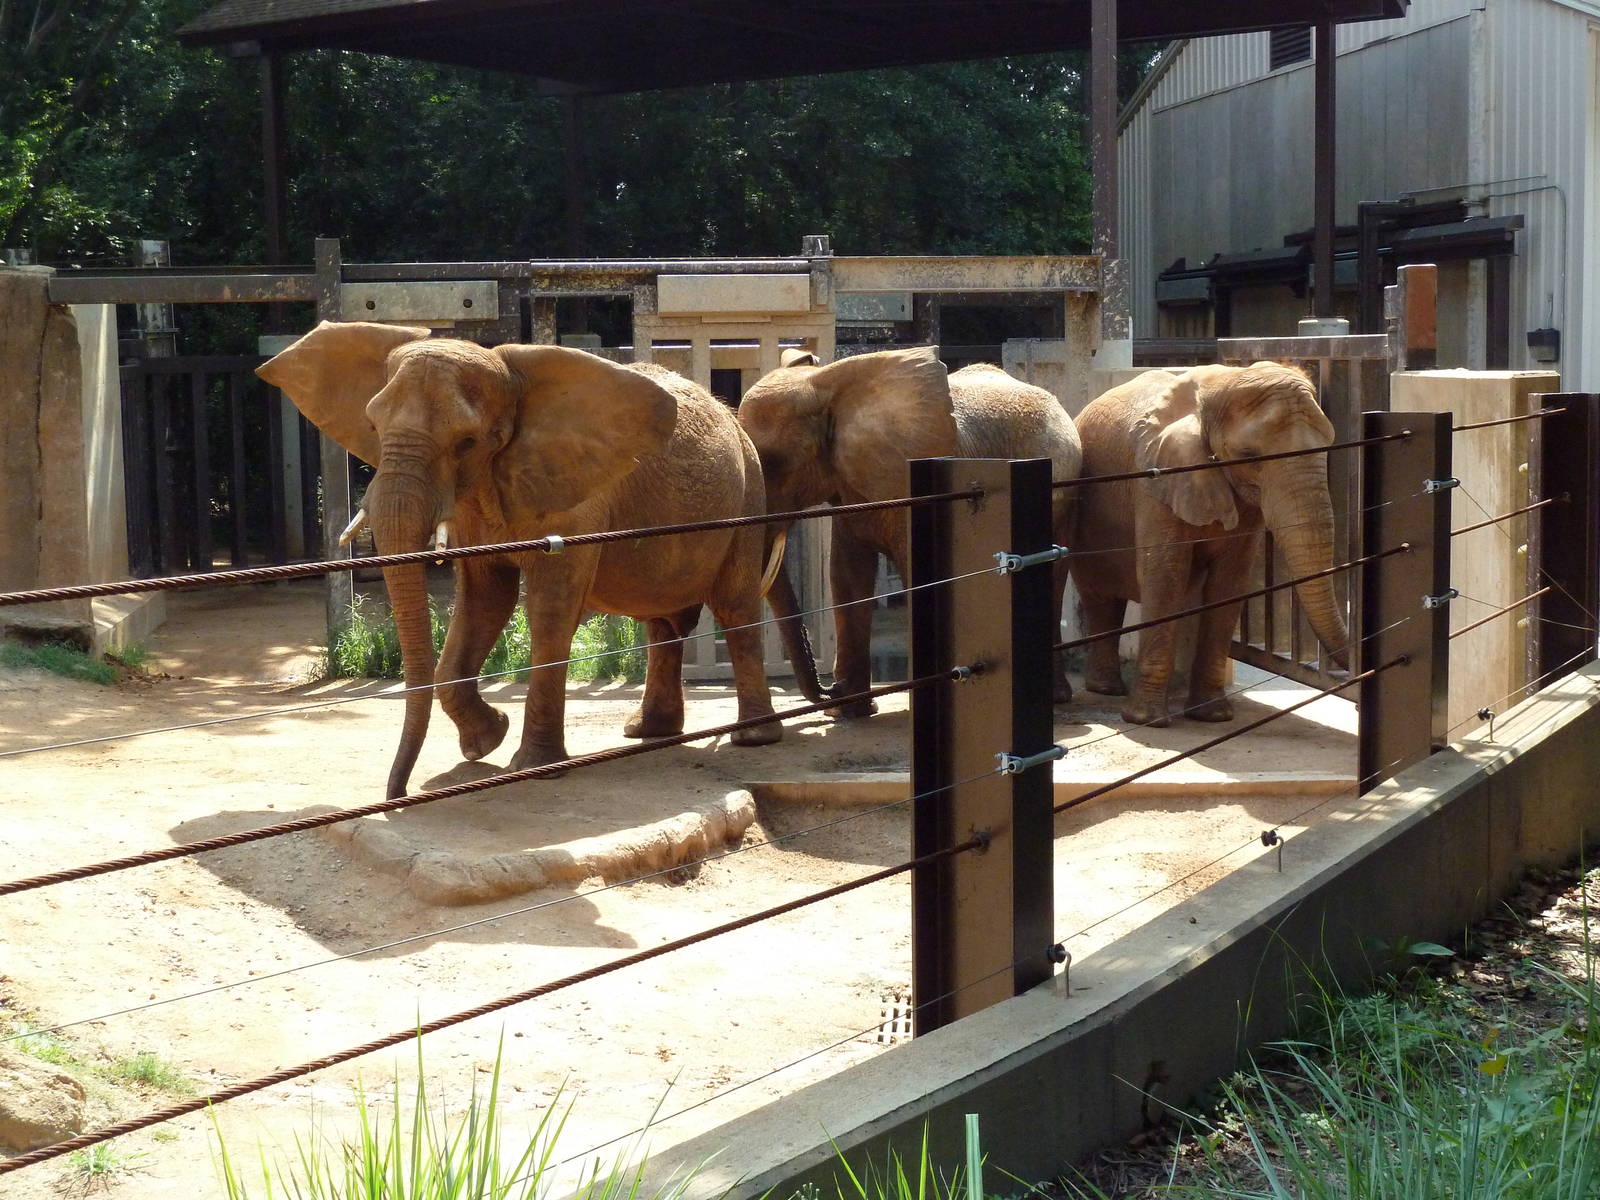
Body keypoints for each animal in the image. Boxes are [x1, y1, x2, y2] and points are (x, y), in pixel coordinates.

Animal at [258, 322, 792, 799]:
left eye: (468, 442)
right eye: (372, 426)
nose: (396, 792)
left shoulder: (573, 493)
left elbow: (549, 609)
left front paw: (532, 768)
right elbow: (483, 600)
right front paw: (485, 741)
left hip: (750, 495)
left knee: (734, 606)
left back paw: (753, 737)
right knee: (663, 621)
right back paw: (646, 732)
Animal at [737, 346, 1083, 715]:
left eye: (773, 464)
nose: (834, 688)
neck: (829, 387)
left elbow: (915, 572)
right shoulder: (849, 485)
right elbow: (847, 575)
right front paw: (852, 712)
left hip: (1062, 486)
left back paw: (1054, 698)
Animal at [1068, 362, 1351, 727]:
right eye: (1249, 457)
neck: (1221, 384)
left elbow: (1229, 582)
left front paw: (1214, 716)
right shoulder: (1157, 479)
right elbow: (1166, 576)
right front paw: (1148, 721)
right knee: (1099, 596)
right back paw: (1106, 689)